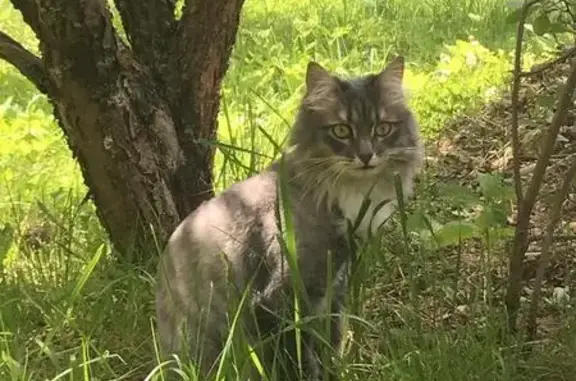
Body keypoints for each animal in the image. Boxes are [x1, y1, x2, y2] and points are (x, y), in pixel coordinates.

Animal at [155, 57, 426, 380]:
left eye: (383, 129)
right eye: (341, 131)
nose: (366, 155)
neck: (336, 195)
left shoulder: (334, 290)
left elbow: (330, 346)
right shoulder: (279, 299)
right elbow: (298, 360)